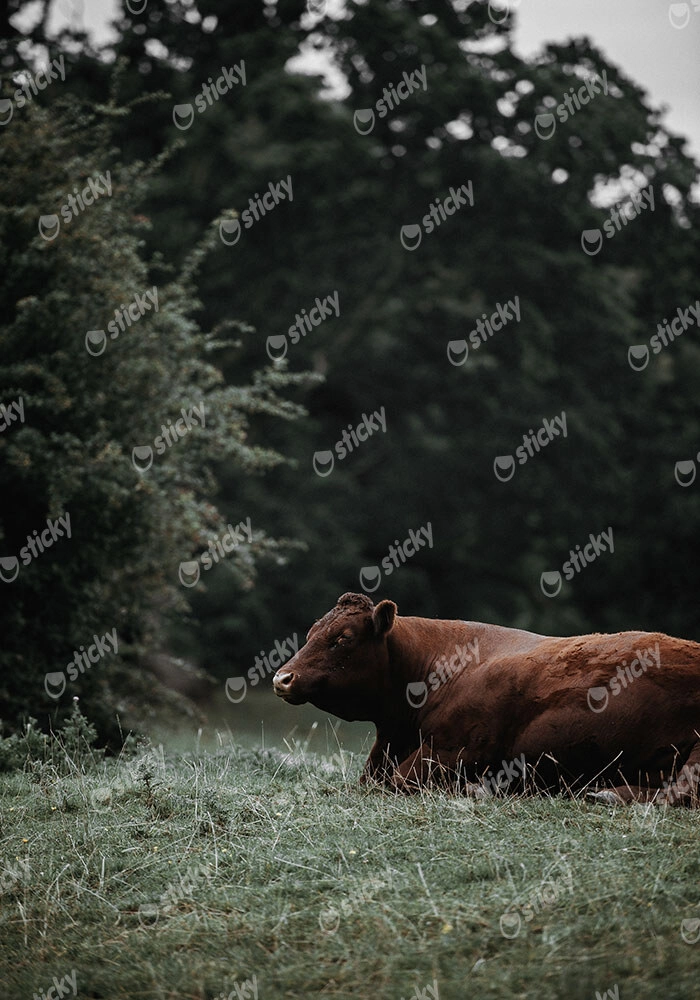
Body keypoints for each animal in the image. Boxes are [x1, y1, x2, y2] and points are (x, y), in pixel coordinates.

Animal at [272, 592, 700, 805]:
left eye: (342, 639)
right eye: (310, 632)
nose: (282, 678)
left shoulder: (452, 750)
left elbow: (397, 781)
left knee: (679, 793)